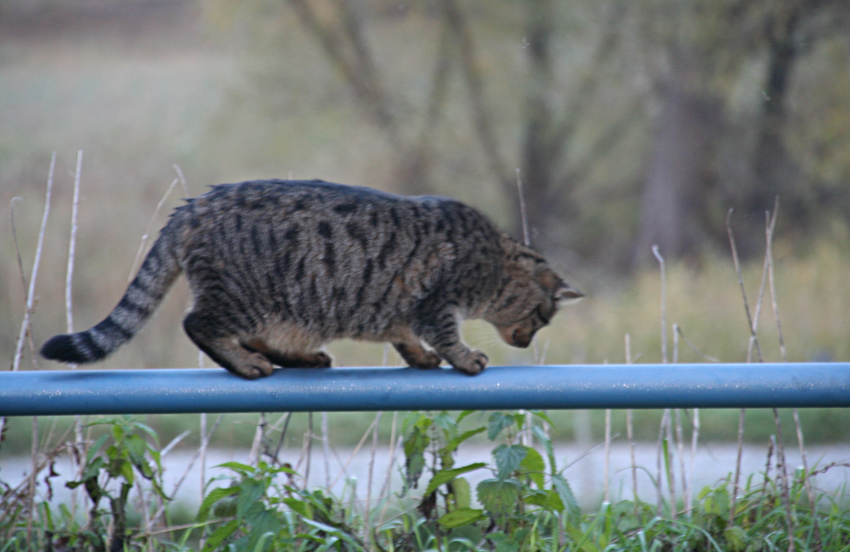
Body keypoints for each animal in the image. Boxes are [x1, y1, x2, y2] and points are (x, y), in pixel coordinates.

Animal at [41, 179, 584, 378]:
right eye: (543, 318)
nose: (527, 341)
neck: (496, 258)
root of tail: (194, 206)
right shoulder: (438, 301)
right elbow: (446, 335)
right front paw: (464, 358)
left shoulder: (405, 308)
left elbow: (406, 335)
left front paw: (421, 358)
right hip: (244, 297)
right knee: (199, 325)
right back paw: (247, 364)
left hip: (289, 311)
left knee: (258, 336)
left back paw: (300, 357)